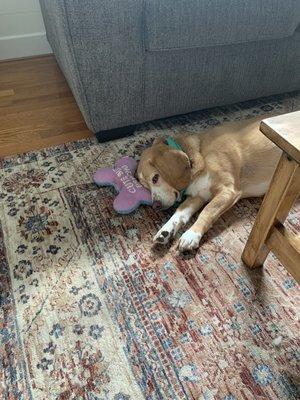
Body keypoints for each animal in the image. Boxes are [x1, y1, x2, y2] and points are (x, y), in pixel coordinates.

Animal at [137, 115, 282, 252]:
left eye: (155, 178)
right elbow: (180, 212)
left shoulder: (228, 191)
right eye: (146, 187)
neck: (200, 153)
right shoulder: (199, 195)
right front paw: (165, 230)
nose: (155, 206)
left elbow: (207, 211)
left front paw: (192, 234)